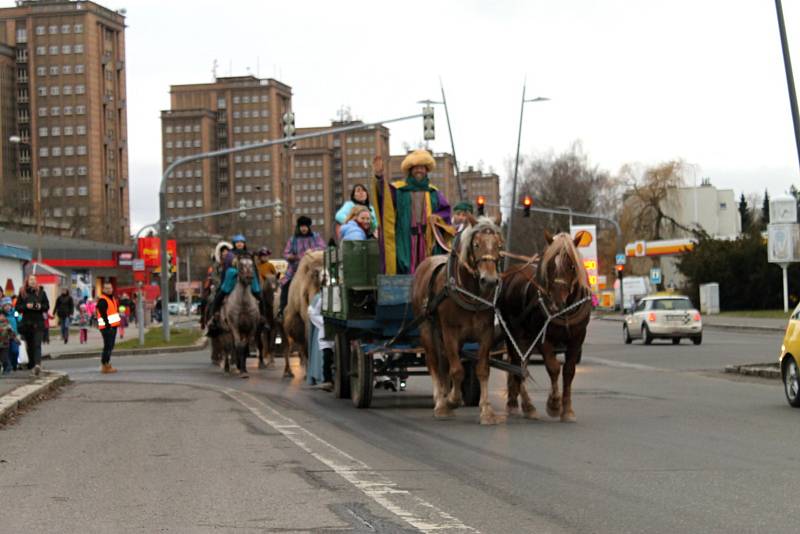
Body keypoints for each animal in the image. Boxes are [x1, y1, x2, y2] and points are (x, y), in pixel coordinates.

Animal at [416, 216, 504, 426]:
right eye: (476, 244)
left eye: (499, 245)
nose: (490, 280)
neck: (468, 291)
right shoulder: (450, 331)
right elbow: (457, 370)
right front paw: (451, 401)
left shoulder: (486, 332)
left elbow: (482, 369)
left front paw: (486, 410)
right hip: (427, 329)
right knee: (433, 363)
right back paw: (440, 401)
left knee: (444, 364)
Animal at [500, 232, 592, 426]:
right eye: (550, 265)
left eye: (572, 265)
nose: (555, 303)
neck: (565, 311)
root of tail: (513, 272)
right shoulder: (543, 337)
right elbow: (553, 367)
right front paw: (554, 404)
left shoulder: (577, 338)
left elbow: (569, 370)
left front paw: (567, 410)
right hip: (513, 334)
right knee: (517, 365)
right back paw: (525, 406)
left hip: (526, 339)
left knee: (521, 365)